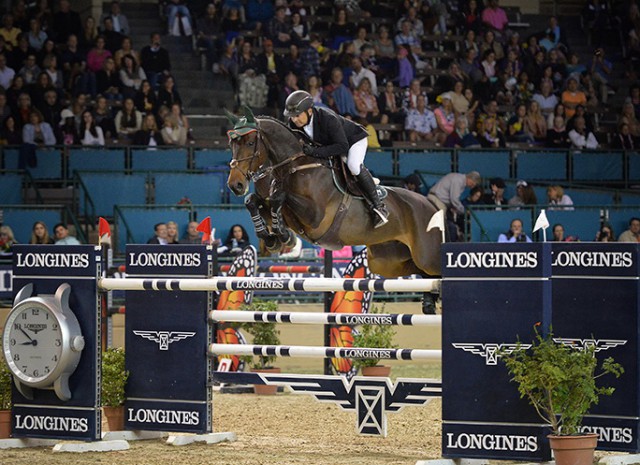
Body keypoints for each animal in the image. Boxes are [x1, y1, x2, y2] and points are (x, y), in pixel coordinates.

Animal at [226, 107, 444, 280]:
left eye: (250, 143)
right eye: (232, 144)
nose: (235, 185)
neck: (296, 166)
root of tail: (431, 204)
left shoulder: (315, 216)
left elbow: (279, 198)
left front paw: (283, 236)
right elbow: (253, 201)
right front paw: (272, 237)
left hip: (427, 258)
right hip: (387, 261)